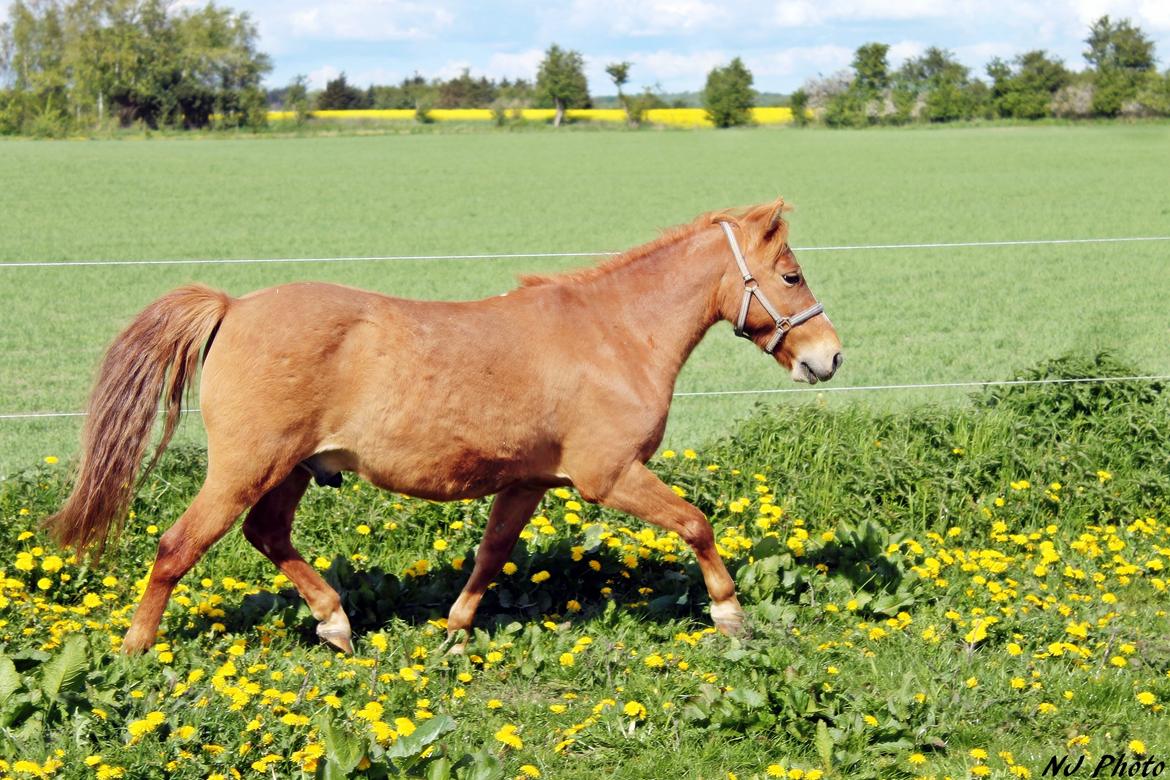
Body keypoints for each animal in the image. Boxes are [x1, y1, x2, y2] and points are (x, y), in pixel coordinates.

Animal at [47, 198, 842, 654]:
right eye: (792, 275)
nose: (828, 356)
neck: (612, 335)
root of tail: (232, 307)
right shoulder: (609, 475)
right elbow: (697, 524)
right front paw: (729, 615)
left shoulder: (530, 481)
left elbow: (491, 556)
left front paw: (455, 633)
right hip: (246, 467)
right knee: (177, 547)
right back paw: (136, 650)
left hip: (292, 470)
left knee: (266, 536)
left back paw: (336, 623)